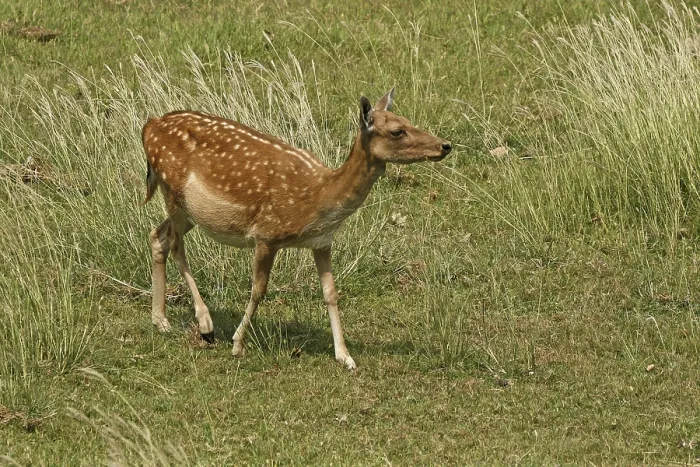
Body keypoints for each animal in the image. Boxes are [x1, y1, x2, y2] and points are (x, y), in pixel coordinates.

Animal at [140, 88, 452, 369]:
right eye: (398, 131)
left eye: (408, 119)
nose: (445, 145)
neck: (317, 199)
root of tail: (149, 125)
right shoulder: (267, 234)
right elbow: (259, 290)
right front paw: (238, 344)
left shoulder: (322, 242)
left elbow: (330, 293)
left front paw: (345, 356)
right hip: (173, 192)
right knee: (176, 244)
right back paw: (205, 324)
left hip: (189, 212)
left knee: (158, 236)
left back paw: (160, 320)